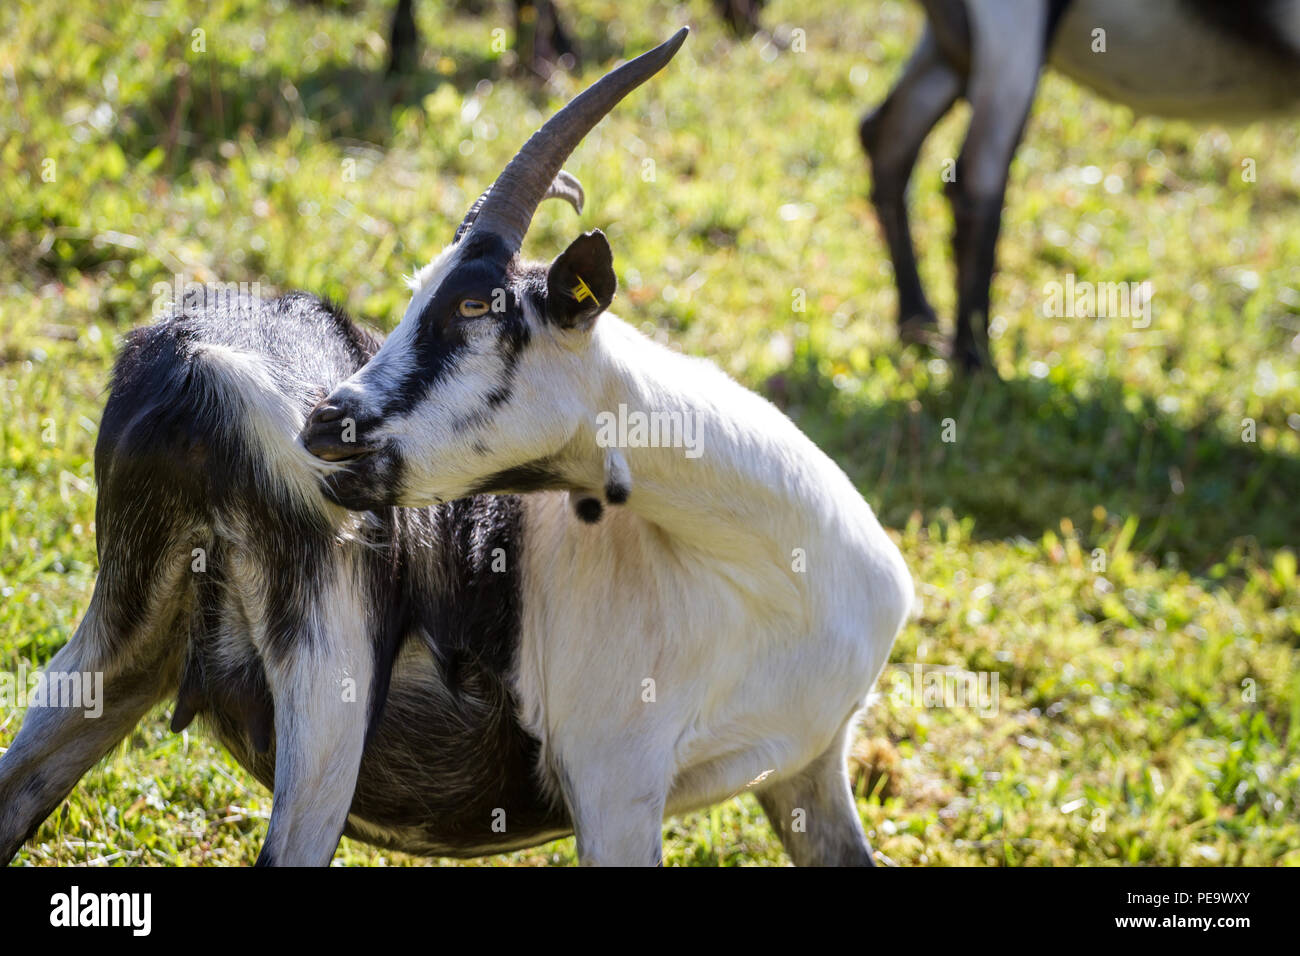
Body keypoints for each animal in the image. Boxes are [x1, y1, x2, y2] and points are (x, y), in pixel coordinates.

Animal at [0, 27, 915, 868]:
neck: (762, 570)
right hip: (328, 678)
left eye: (476, 306)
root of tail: (202, 364)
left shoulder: (807, 768)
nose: (326, 425)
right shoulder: (617, 786)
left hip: (114, 645)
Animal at [863, 0, 1300, 371]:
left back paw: (917, 318)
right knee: (974, 180)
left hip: (952, 42)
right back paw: (977, 366)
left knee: (887, 134)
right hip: (1011, 26)